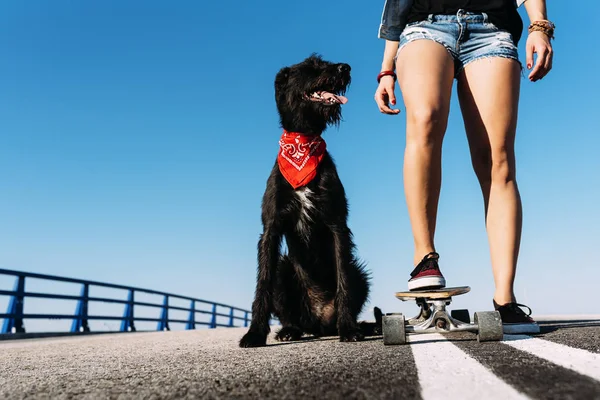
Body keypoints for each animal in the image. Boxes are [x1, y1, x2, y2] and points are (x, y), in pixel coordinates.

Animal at [239, 53, 380, 346]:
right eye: (310, 66)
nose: (345, 68)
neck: (303, 143)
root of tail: (319, 324)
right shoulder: (270, 229)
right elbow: (262, 283)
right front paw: (255, 332)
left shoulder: (337, 225)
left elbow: (343, 280)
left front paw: (349, 329)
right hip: (284, 270)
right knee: (292, 315)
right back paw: (289, 330)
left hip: (359, 272)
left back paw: (357, 326)